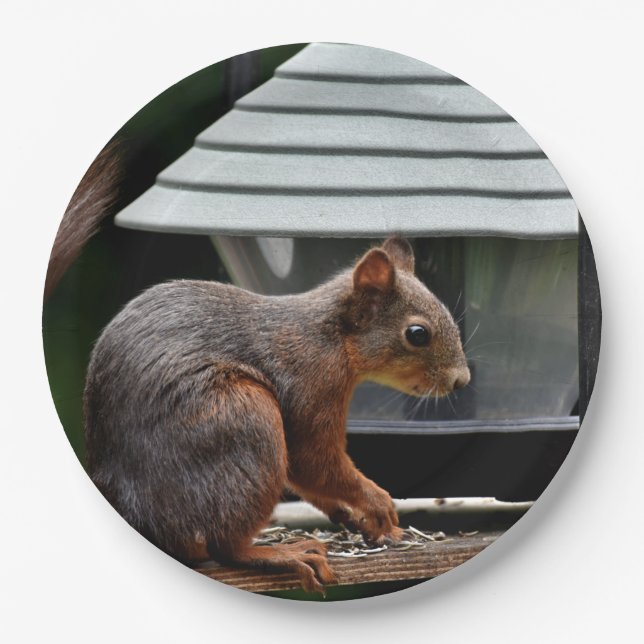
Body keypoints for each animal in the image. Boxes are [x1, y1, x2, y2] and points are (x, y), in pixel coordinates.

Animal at [48, 144, 471, 594]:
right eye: (417, 334)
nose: (461, 380)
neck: (332, 338)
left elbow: (306, 478)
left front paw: (355, 517)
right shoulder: (309, 384)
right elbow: (313, 461)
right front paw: (377, 502)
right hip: (245, 419)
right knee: (225, 548)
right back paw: (283, 553)